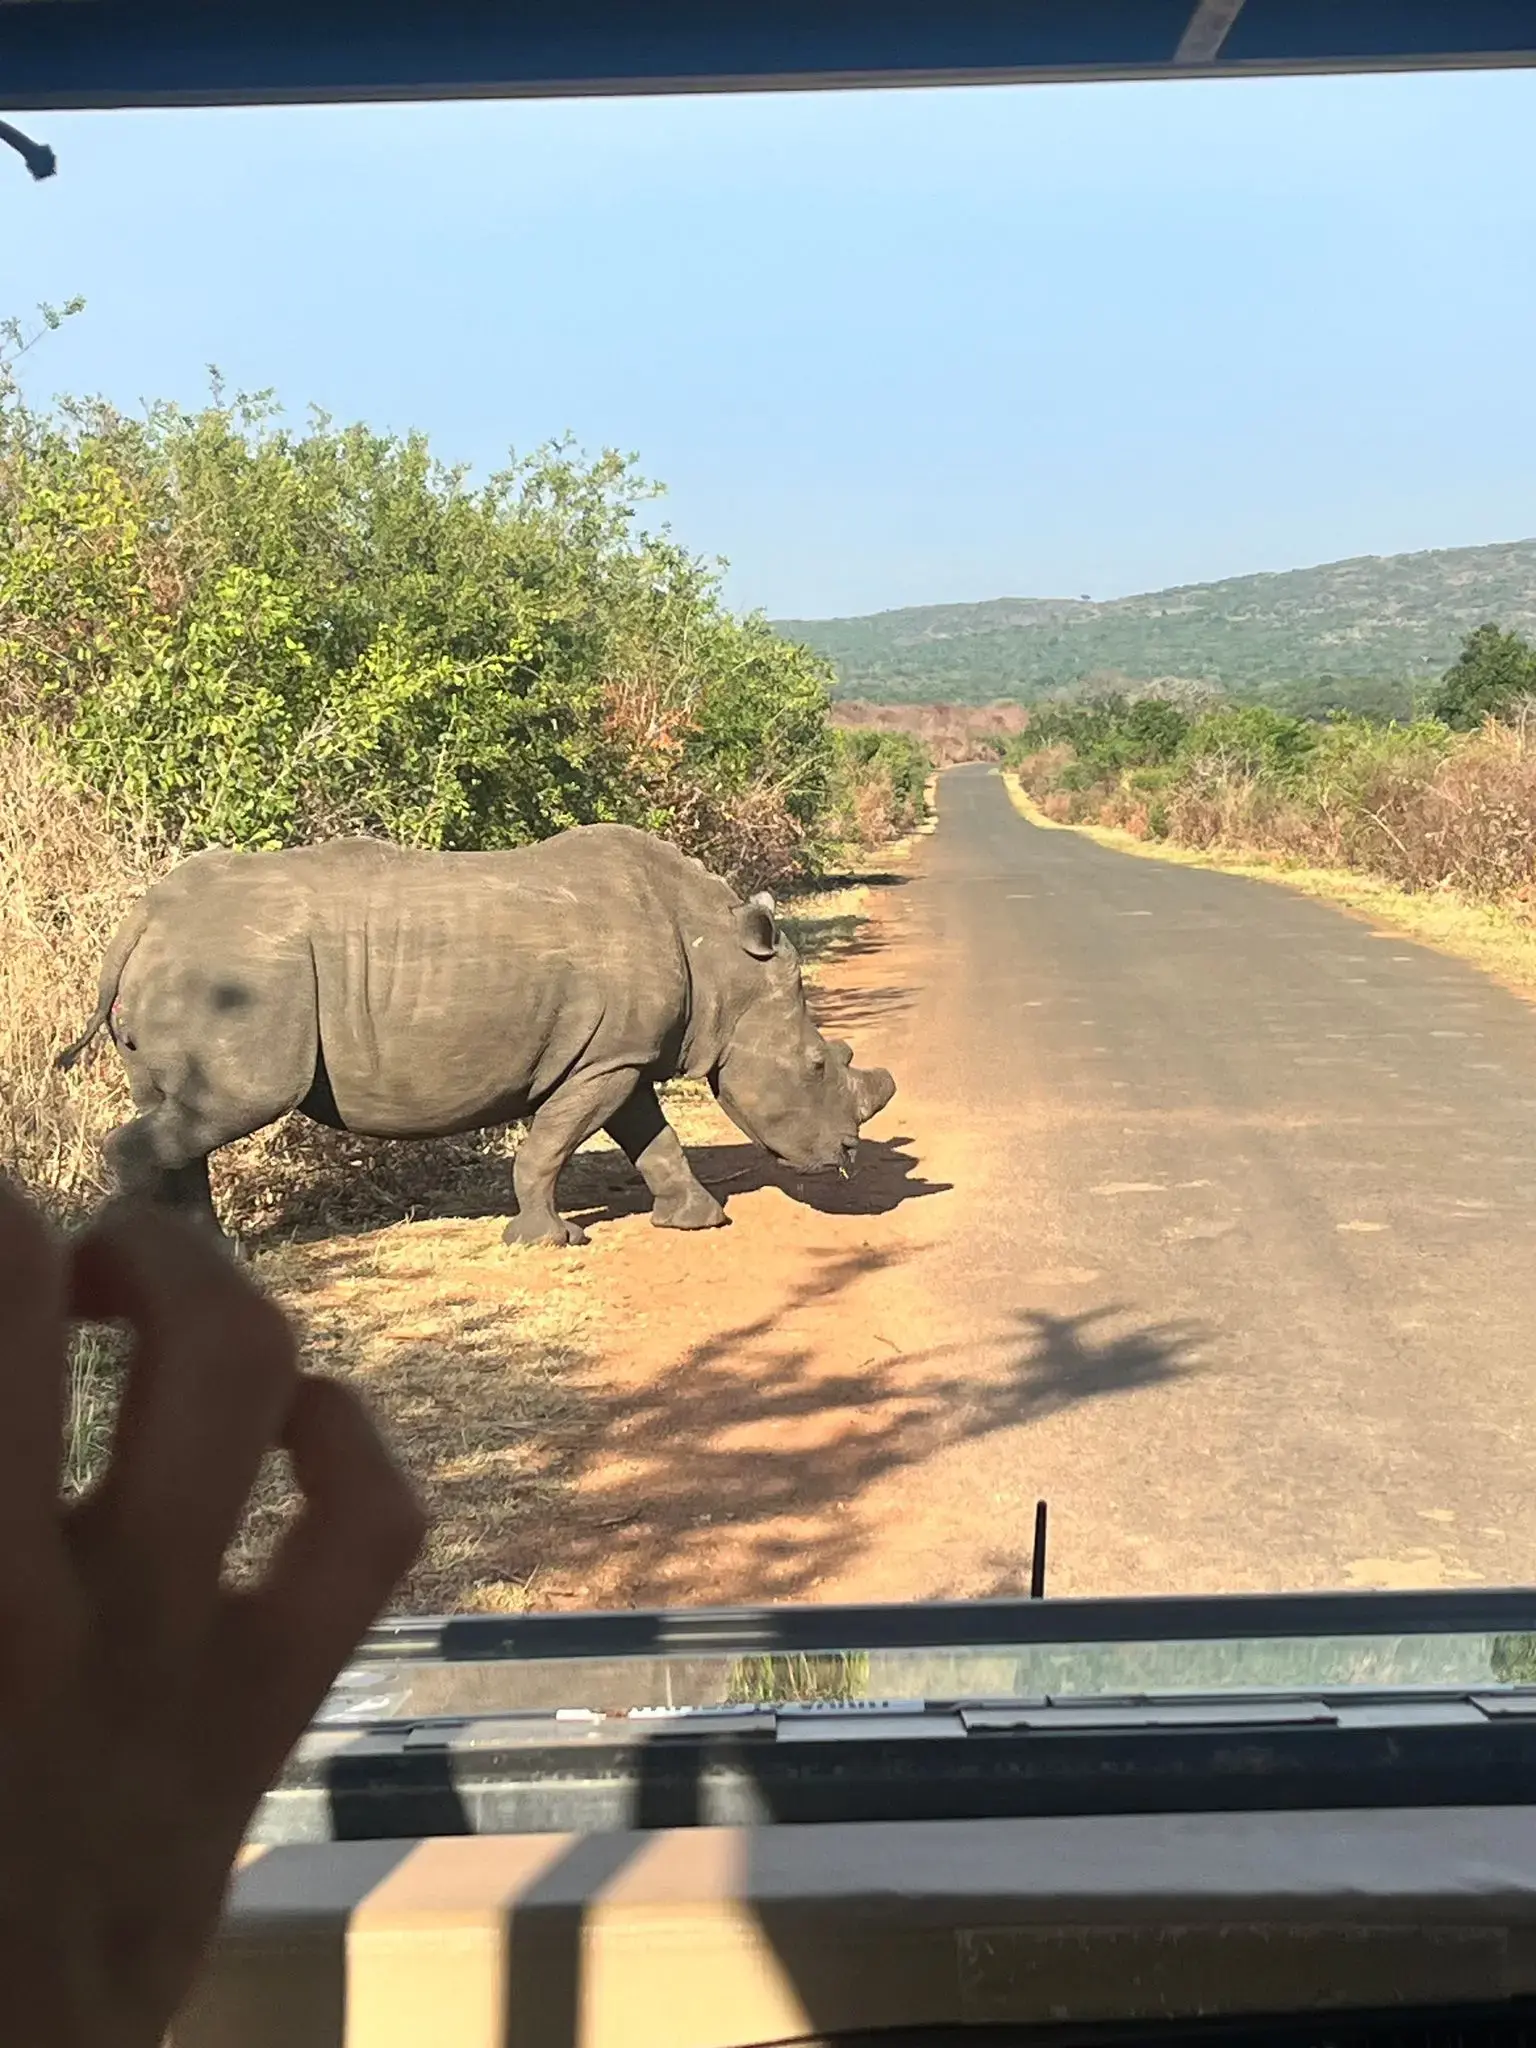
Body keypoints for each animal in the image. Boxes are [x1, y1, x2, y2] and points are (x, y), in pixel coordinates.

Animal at [57, 824, 897, 1248]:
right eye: (818, 1064)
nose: (850, 1157)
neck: (721, 958)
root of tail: (144, 916)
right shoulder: (603, 1060)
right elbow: (552, 1143)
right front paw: (547, 1241)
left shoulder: (614, 1055)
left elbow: (653, 1138)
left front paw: (699, 1221)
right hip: (241, 971)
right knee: (235, 1103)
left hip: (201, 965)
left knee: (185, 1115)